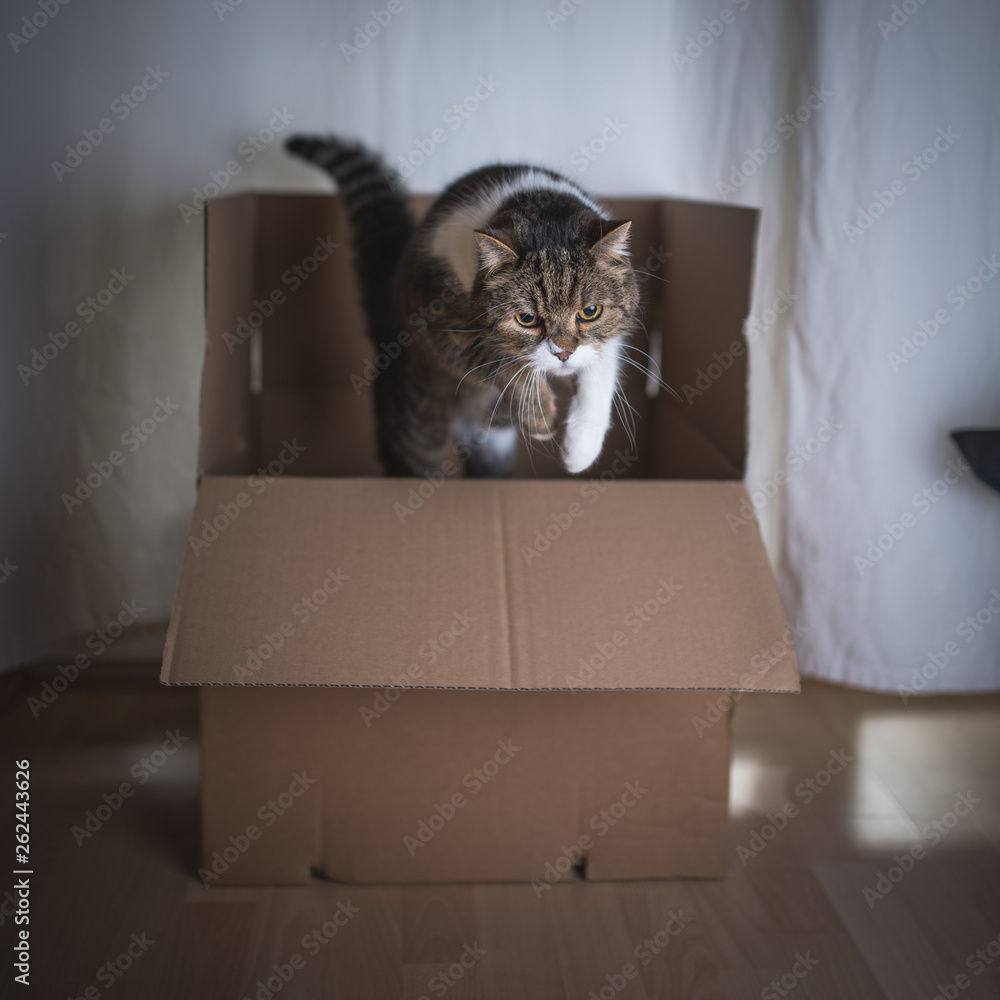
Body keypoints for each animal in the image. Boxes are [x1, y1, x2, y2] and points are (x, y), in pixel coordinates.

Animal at [288, 136, 640, 476]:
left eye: (590, 312)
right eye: (526, 318)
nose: (564, 354)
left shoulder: (607, 336)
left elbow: (601, 366)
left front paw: (581, 449)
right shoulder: (444, 328)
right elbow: (503, 360)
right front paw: (540, 417)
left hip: (493, 443)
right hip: (414, 426)